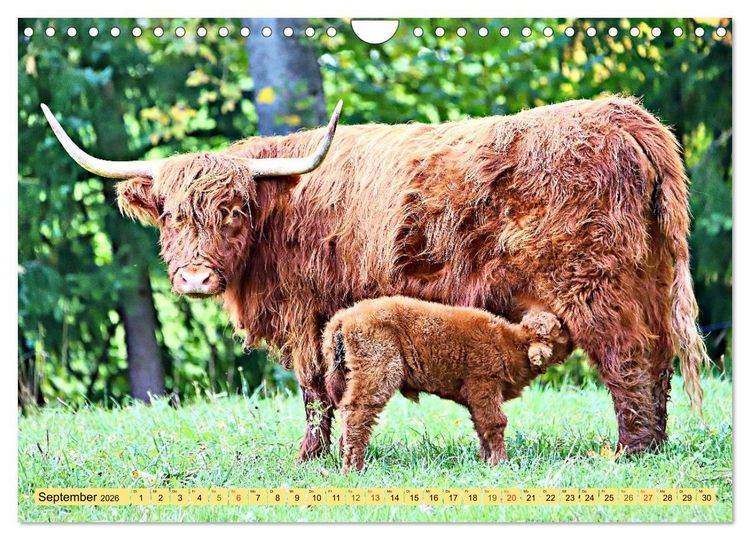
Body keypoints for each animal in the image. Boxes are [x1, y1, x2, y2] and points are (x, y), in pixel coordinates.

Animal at [41, 95, 709, 461]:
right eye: (175, 215)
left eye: (232, 212)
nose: (196, 279)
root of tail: (623, 115)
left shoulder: (308, 315)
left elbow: (316, 390)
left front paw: (310, 459)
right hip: (647, 279)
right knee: (657, 361)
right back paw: (653, 446)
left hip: (594, 286)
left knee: (627, 359)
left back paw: (627, 453)